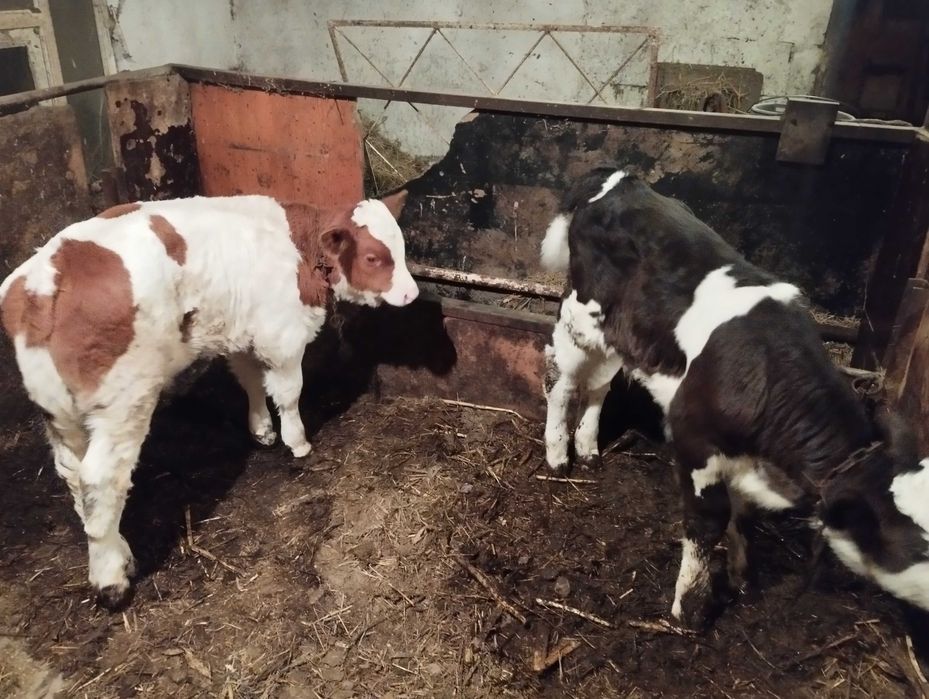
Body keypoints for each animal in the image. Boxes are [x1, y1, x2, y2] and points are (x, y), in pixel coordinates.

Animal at [0, 191, 418, 609]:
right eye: (372, 257)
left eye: (400, 245)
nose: (412, 293)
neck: (298, 245)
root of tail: (44, 282)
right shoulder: (281, 335)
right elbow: (288, 392)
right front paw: (297, 442)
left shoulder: (242, 331)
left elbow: (249, 379)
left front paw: (262, 430)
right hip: (122, 403)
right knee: (101, 479)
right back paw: (110, 582)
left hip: (59, 412)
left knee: (74, 477)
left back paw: (121, 554)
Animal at [540, 166, 929, 629]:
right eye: (921, 545)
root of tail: (619, 178)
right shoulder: (694, 443)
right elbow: (708, 522)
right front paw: (689, 608)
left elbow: (743, 516)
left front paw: (743, 576)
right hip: (578, 316)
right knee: (563, 380)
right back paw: (558, 454)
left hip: (620, 335)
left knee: (600, 383)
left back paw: (588, 446)